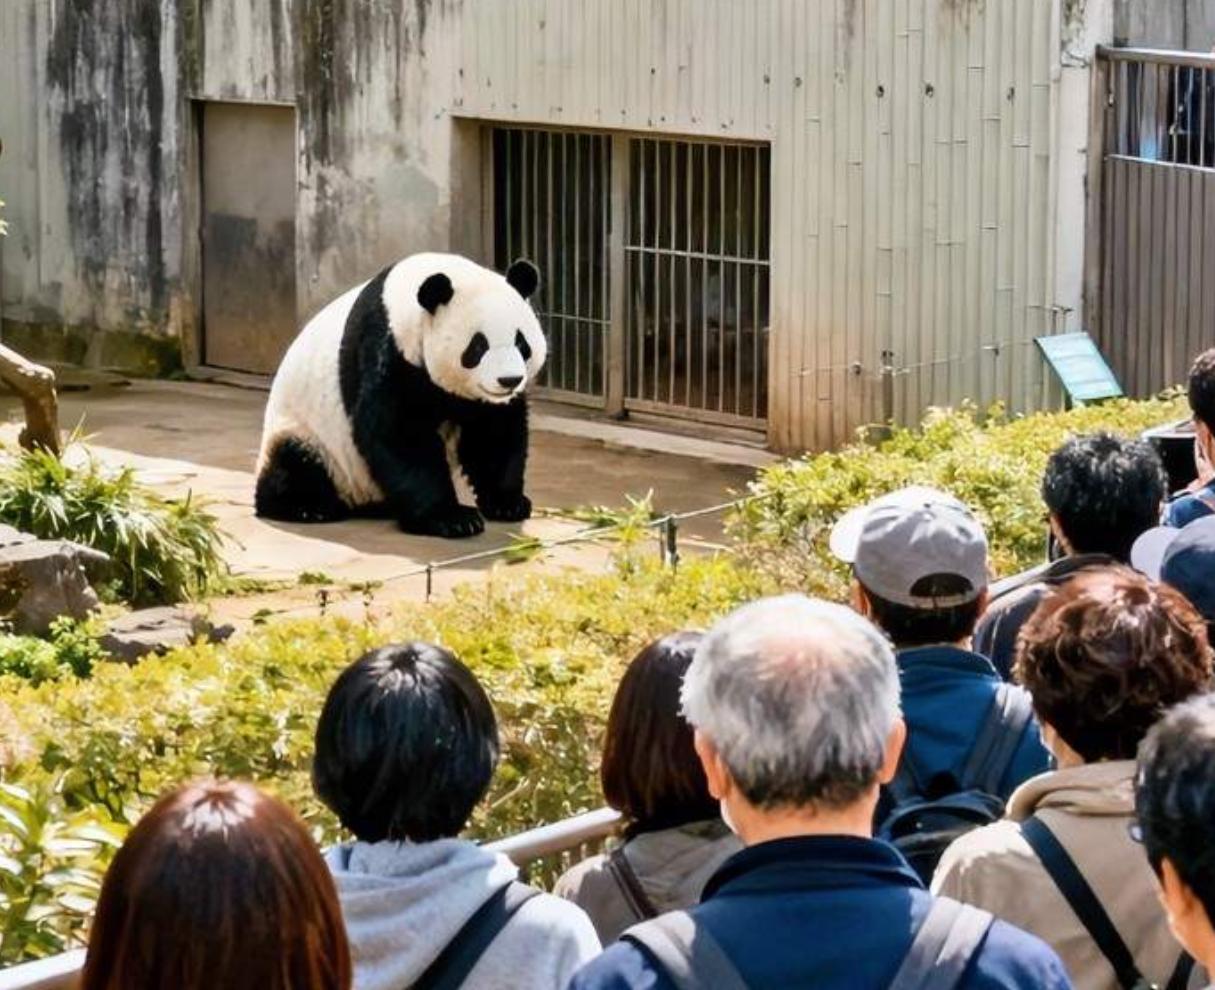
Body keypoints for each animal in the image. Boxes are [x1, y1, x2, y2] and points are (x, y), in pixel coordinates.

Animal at [254, 252, 547, 539]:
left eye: (521, 343)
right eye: (477, 347)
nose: (509, 380)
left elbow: (493, 434)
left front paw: (509, 503)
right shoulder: (387, 351)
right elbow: (399, 433)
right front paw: (453, 518)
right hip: (309, 433)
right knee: (295, 462)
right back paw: (307, 507)